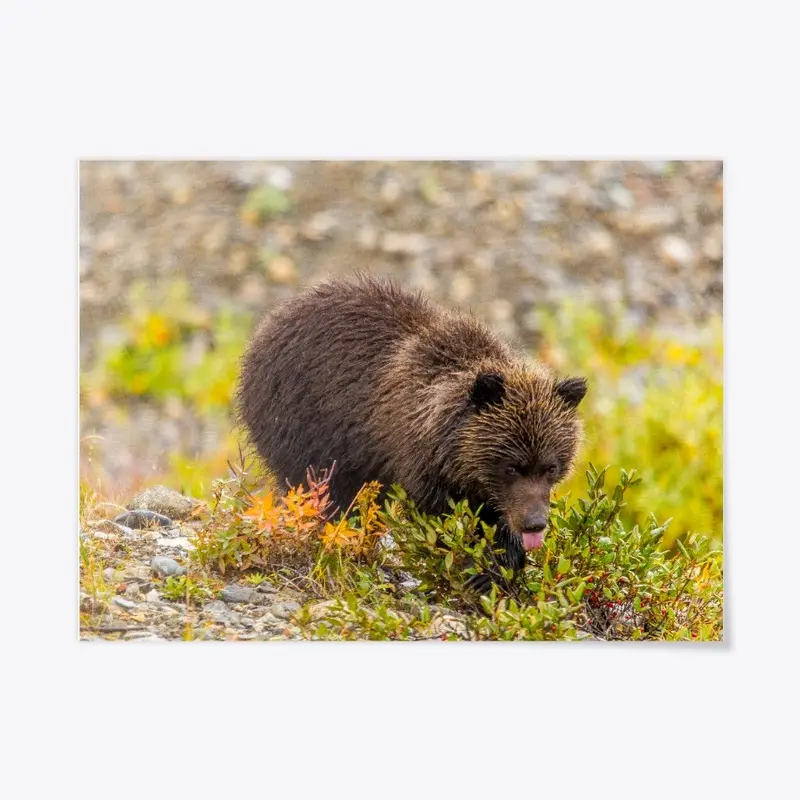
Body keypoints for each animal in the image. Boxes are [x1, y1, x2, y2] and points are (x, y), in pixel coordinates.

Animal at [234, 276, 584, 576]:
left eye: (551, 467)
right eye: (512, 466)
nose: (534, 523)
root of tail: (266, 327)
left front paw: (504, 560)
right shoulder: (416, 458)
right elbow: (440, 519)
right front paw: (475, 565)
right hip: (303, 425)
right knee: (325, 492)